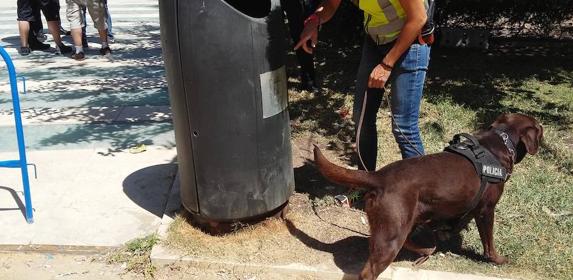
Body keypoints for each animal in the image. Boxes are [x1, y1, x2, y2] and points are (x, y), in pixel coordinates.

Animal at [312, 113, 540, 280]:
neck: (500, 141)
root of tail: (379, 175)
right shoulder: (486, 210)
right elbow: (489, 242)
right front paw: (497, 259)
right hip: (391, 235)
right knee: (369, 271)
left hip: (403, 222)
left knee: (410, 241)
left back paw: (426, 249)